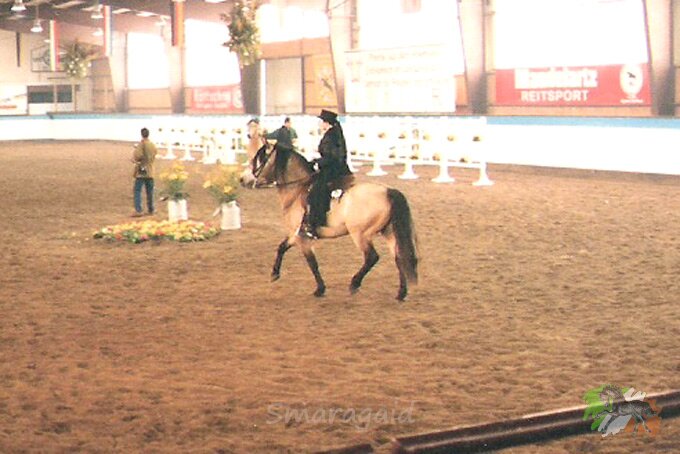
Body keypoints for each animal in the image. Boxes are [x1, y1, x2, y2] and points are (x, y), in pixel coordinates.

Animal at [241, 143, 418, 301]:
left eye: (260, 159)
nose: (243, 179)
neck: (298, 191)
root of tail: (388, 191)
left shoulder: (303, 238)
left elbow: (312, 263)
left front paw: (320, 289)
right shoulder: (295, 234)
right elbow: (282, 247)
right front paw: (274, 273)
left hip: (360, 234)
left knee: (372, 257)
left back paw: (354, 284)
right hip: (388, 231)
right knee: (398, 256)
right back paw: (401, 293)